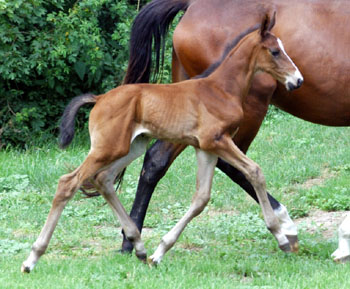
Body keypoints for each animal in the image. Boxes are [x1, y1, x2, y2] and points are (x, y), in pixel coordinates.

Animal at [21, 12, 304, 270]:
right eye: (275, 51)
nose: (297, 80)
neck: (222, 89)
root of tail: (99, 99)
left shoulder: (206, 148)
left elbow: (201, 198)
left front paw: (160, 252)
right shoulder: (218, 141)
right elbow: (254, 171)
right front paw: (281, 237)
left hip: (132, 146)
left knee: (104, 180)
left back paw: (139, 246)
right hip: (107, 148)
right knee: (68, 183)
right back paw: (32, 258)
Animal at [120, 0, 350, 260]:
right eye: (275, 51)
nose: (298, 79)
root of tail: (191, 5)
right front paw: (344, 241)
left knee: (156, 159)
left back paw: (130, 241)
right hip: (247, 110)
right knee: (235, 165)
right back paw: (285, 227)